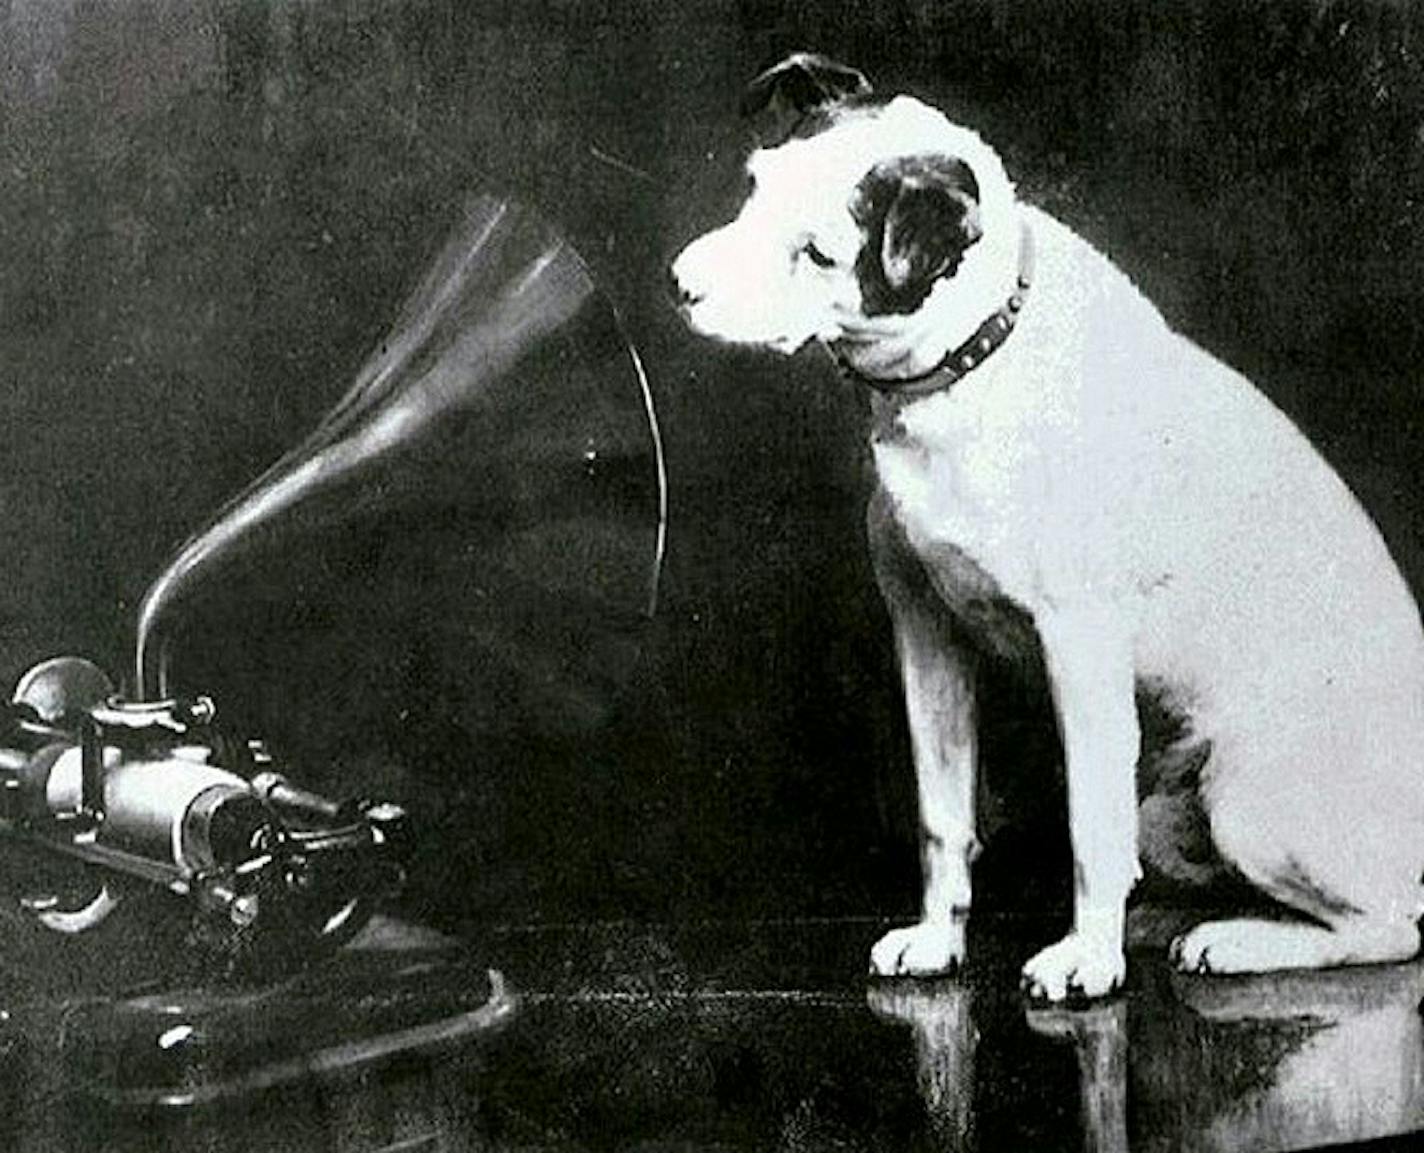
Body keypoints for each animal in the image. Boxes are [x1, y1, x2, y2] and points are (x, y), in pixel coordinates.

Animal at [669, 58, 1424, 1002]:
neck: (972, 363)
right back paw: (1166, 924)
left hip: (1249, 797)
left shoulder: (1081, 647)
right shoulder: (926, 635)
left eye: (815, 252)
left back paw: (1236, 942)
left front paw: (1086, 959)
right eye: (754, 188)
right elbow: (943, 811)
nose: (680, 283)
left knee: (1388, 927)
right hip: (1170, 810)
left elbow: (1087, 826)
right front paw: (938, 938)